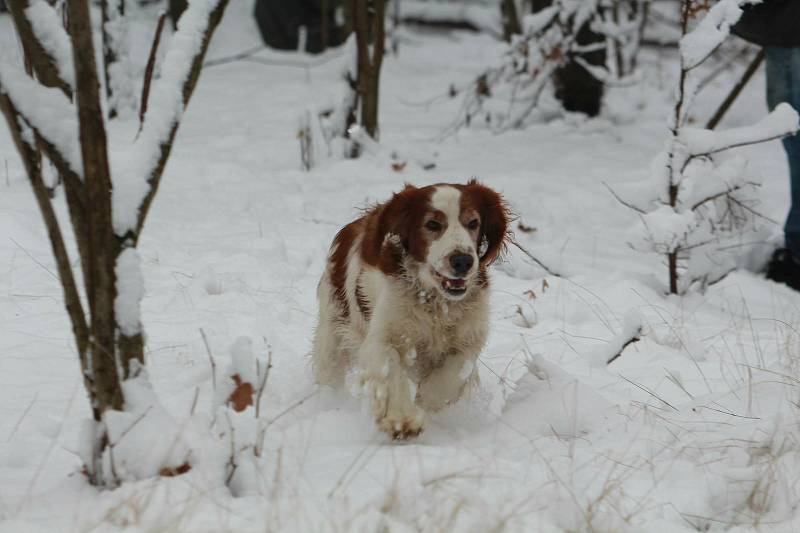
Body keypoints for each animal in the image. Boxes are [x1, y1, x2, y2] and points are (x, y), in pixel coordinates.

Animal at [310, 181, 510, 438]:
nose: (463, 261)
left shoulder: (469, 339)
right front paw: (401, 419)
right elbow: (391, 370)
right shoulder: (383, 337)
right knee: (329, 368)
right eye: (432, 224)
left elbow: (450, 376)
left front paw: (426, 402)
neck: (436, 301)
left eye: (473, 223)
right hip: (332, 333)